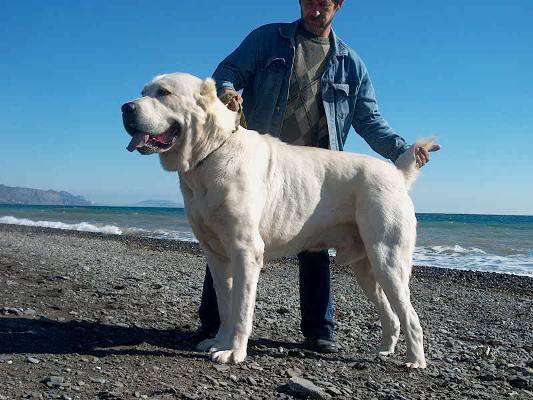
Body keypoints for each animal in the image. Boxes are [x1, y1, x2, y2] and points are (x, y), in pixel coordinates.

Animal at [121, 72, 436, 368]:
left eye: (164, 92)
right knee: (391, 314)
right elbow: (225, 305)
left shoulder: (246, 251)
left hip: (388, 260)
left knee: (411, 316)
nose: (125, 107)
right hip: (366, 268)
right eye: (143, 91)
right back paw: (385, 349)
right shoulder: (216, 256)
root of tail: (397, 174)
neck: (212, 151)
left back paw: (415, 360)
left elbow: (241, 308)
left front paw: (234, 351)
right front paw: (219, 341)